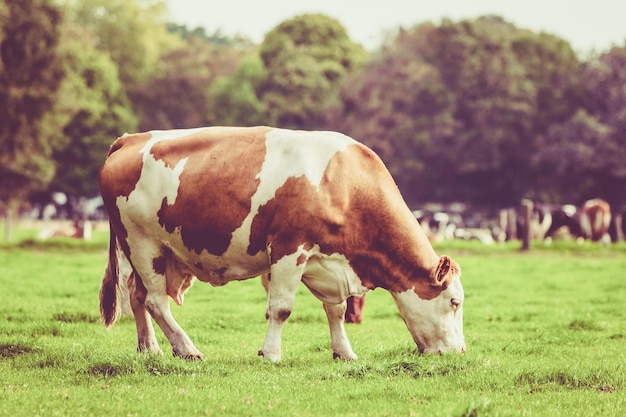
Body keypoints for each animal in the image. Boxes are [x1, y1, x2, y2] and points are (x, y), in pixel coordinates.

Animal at [100, 127, 464, 360]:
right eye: (455, 301)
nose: (460, 352)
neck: (344, 186)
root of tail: (131, 138)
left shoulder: (327, 260)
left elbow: (336, 310)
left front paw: (344, 351)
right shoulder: (289, 250)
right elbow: (281, 308)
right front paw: (271, 354)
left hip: (148, 252)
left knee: (136, 294)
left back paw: (150, 349)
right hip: (142, 243)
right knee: (155, 301)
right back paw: (186, 348)